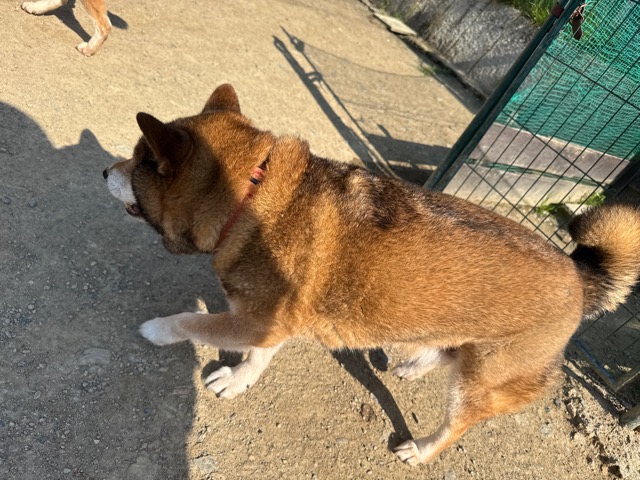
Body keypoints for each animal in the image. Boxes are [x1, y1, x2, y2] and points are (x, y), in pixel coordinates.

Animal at [103, 84, 640, 465]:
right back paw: (413, 364)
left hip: (480, 384)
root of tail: (578, 273)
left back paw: (421, 450)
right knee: (445, 350)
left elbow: (190, 322)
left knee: (455, 426)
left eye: (139, 160)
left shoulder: (257, 320)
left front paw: (159, 330)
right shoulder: (269, 323)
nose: (104, 172)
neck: (252, 196)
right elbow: (257, 359)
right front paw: (239, 381)